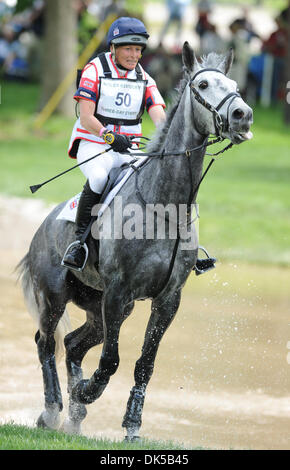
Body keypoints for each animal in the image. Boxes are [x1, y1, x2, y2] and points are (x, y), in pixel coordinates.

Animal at [18, 43, 254, 440]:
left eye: (235, 86)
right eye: (203, 85)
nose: (243, 116)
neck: (165, 203)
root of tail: (42, 226)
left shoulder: (167, 300)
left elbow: (144, 364)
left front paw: (130, 424)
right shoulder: (118, 291)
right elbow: (111, 360)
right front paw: (88, 392)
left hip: (97, 305)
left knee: (73, 345)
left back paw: (75, 415)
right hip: (56, 296)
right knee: (46, 343)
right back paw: (53, 411)